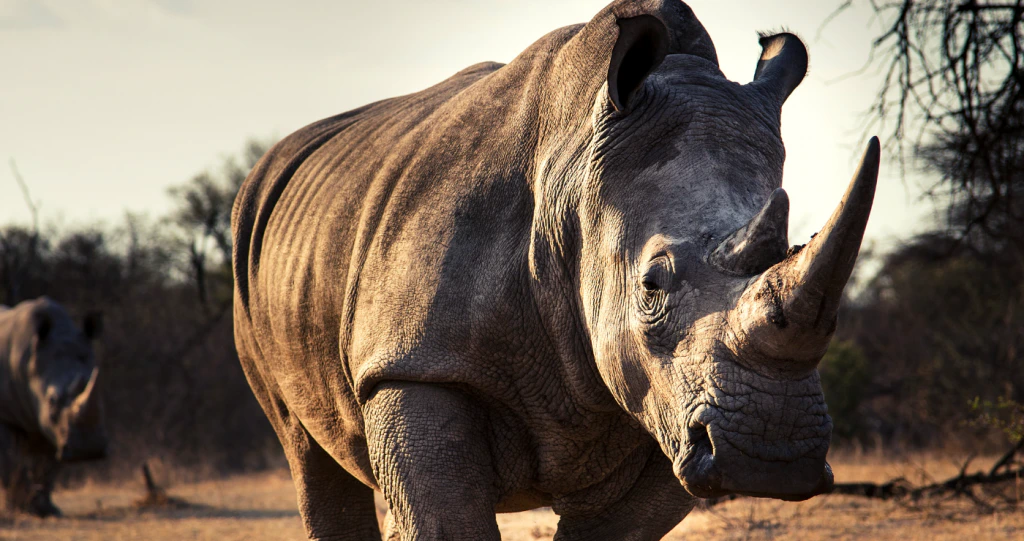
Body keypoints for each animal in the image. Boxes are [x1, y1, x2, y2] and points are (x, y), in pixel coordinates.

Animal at [0, 297, 105, 517]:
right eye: (52, 400)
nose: (89, 449)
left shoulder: (56, 428)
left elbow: (47, 464)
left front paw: (46, 508)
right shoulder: (6, 414)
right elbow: (9, 459)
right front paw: (26, 508)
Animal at [232, 0, 880, 538]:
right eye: (651, 286)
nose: (772, 456)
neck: (572, 180)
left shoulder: (669, 411)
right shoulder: (414, 364)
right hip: (252, 259)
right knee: (306, 451)